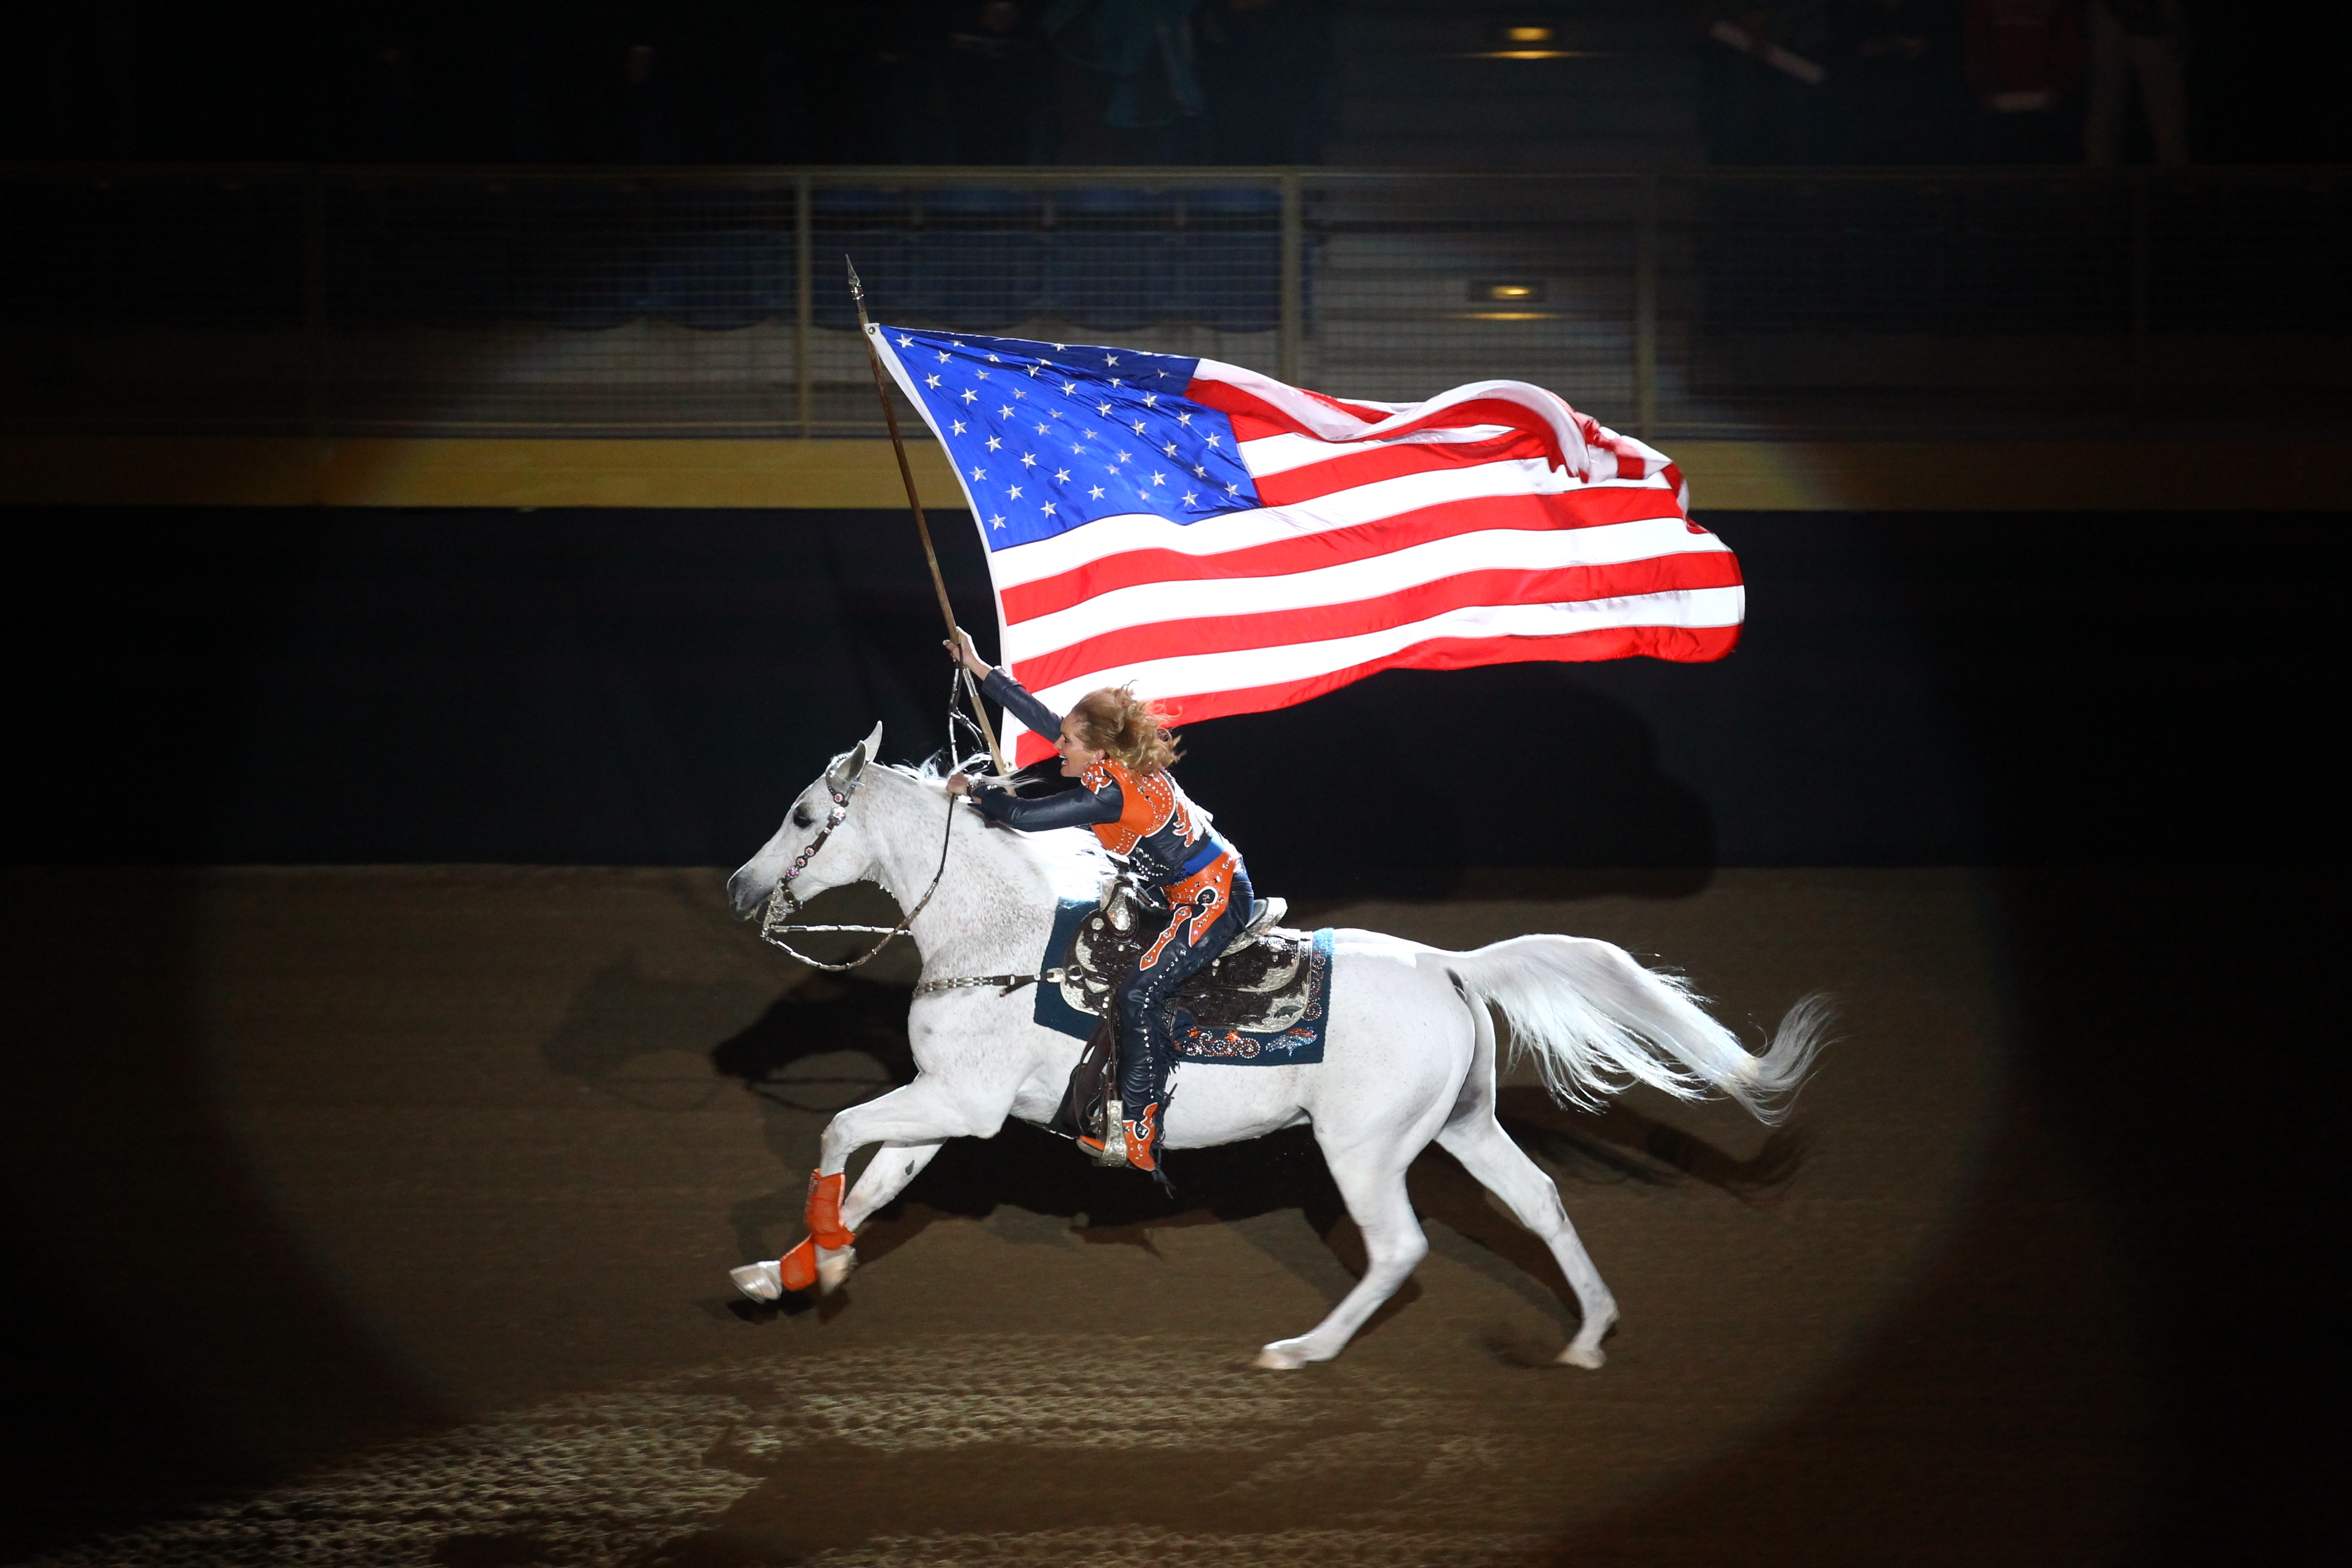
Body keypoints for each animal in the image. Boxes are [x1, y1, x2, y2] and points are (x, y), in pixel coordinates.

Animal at [724, 729, 1825, 1372]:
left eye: (805, 816)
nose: (739, 888)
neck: (997, 942)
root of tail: (1449, 966)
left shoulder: (959, 1102)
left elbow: (838, 1133)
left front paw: (817, 1265)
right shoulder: (945, 1105)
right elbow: (876, 1183)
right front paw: (791, 1271)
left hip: (1365, 1150)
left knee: (1401, 1248)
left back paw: (1301, 1350)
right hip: (1465, 1125)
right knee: (1542, 1202)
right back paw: (1591, 1334)